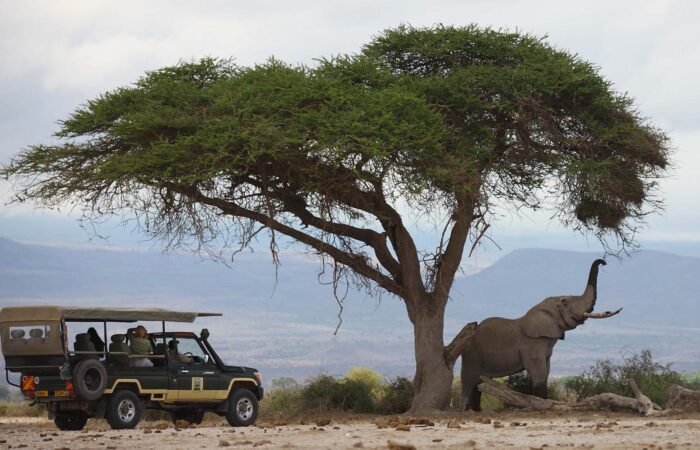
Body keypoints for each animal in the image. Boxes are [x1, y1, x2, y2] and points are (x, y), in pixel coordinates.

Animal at [462, 260, 620, 412]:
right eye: (565, 302)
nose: (604, 263)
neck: (541, 308)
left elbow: (546, 372)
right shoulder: (531, 344)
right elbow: (539, 372)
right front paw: (541, 404)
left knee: (478, 383)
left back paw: (476, 410)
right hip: (471, 353)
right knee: (469, 380)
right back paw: (465, 409)